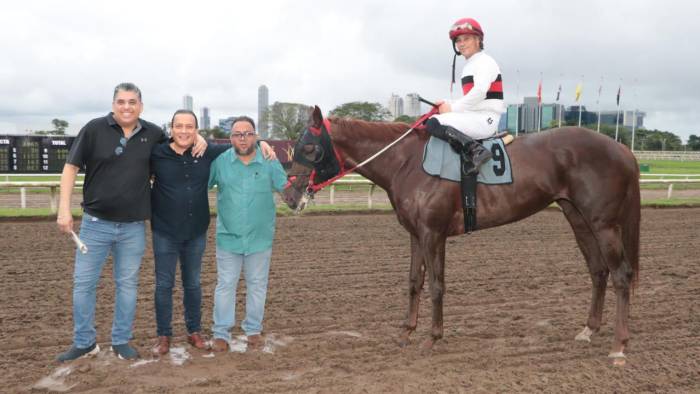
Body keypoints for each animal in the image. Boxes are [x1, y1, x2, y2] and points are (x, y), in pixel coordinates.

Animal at [284, 106, 640, 362]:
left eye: (309, 147)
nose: (288, 196)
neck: (406, 162)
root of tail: (622, 149)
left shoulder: (433, 233)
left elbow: (436, 285)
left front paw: (432, 338)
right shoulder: (415, 234)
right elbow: (413, 283)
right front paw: (406, 332)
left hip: (603, 224)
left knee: (621, 275)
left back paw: (619, 345)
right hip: (578, 218)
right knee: (598, 271)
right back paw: (589, 330)